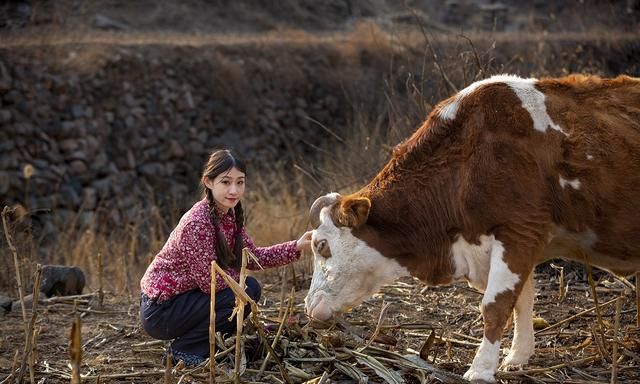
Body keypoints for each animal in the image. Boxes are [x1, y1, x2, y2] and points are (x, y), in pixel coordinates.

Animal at [306, 73, 640, 382]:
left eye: (321, 245)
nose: (309, 306)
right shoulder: (519, 238)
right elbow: (522, 301)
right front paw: (517, 357)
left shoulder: (518, 229)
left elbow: (496, 304)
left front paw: (481, 369)